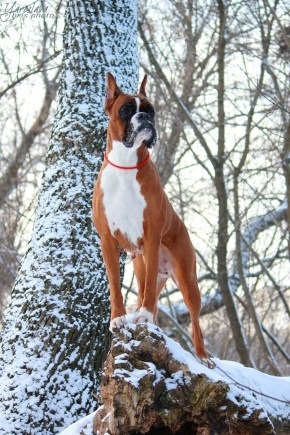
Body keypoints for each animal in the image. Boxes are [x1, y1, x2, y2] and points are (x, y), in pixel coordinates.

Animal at [93, 73, 213, 366]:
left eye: (151, 111)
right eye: (126, 110)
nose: (145, 119)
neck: (125, 166)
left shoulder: (151, 235)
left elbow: (147, 295)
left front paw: (143, 316)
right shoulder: (107, 241)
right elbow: (114, 285)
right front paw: (118, 319)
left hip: (187, 278)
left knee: (194, 319)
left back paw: (202, 355)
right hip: (143, 265)